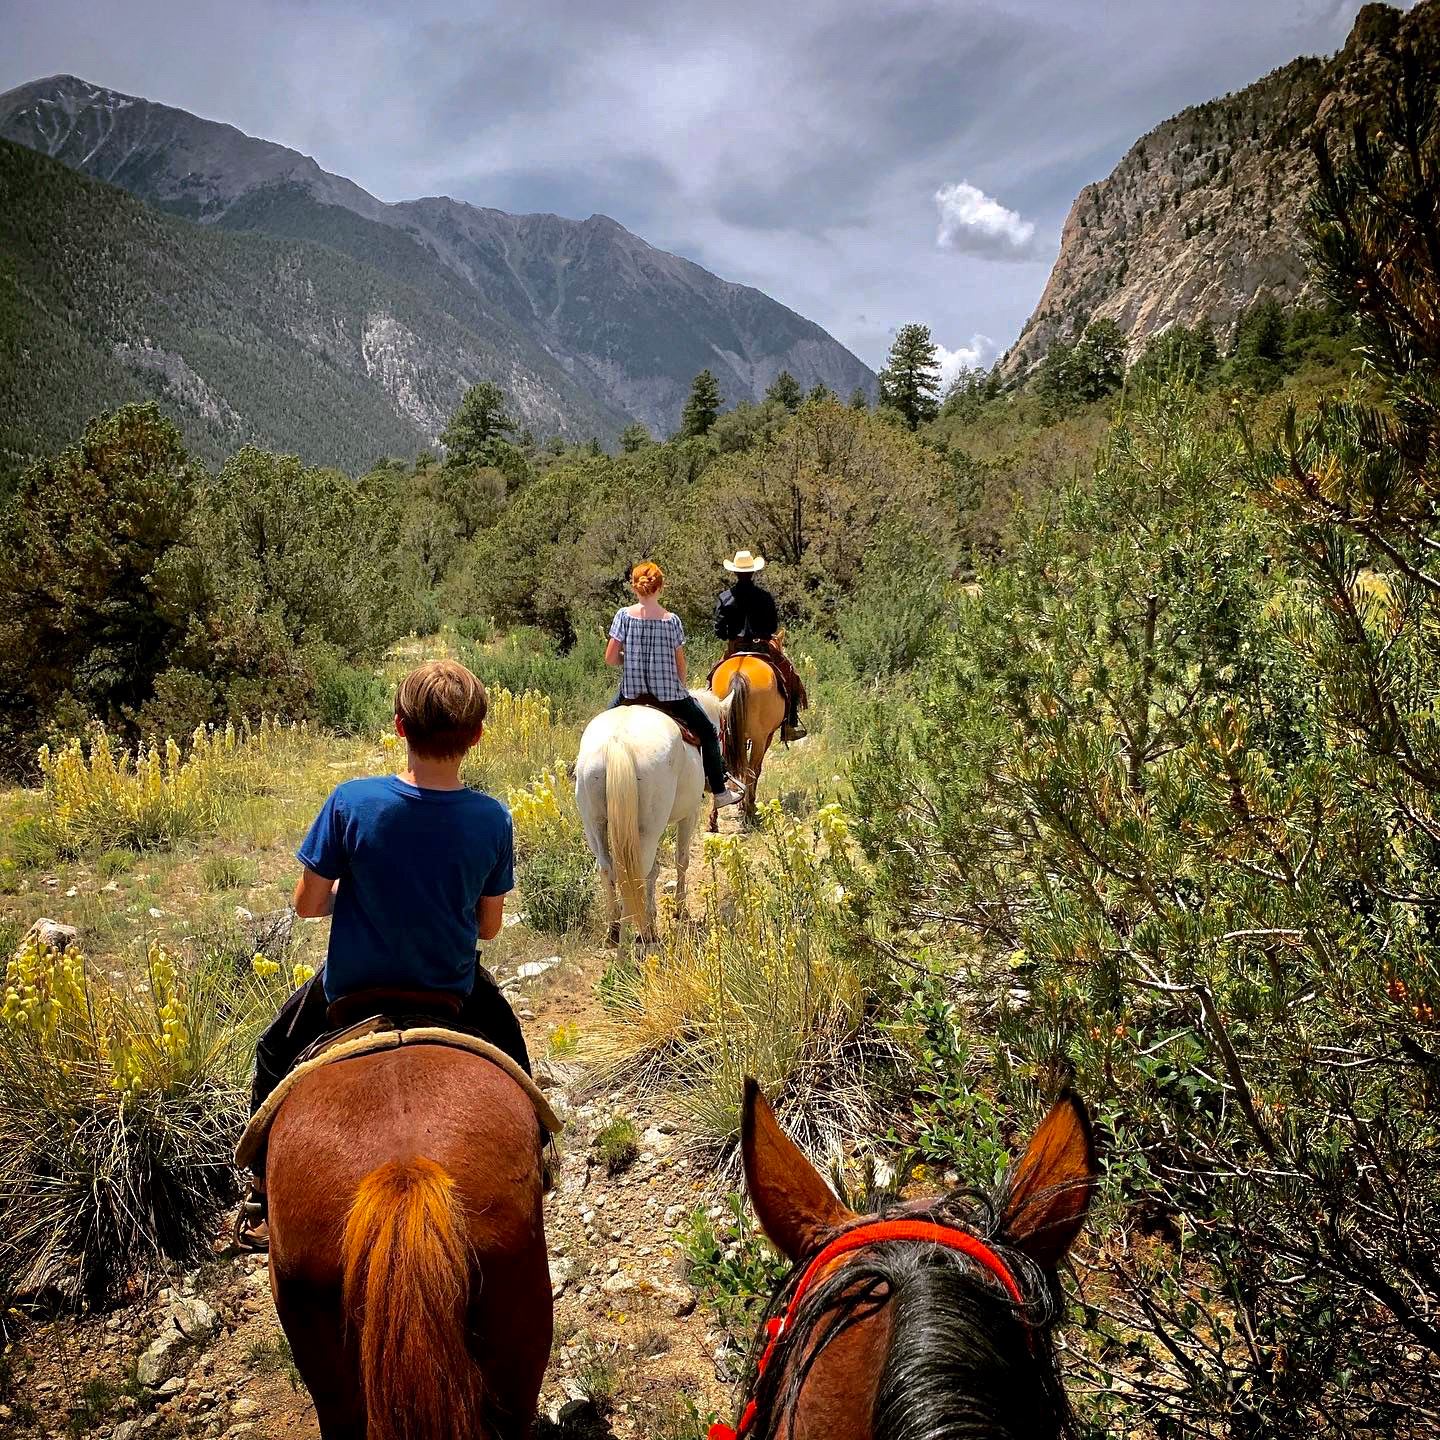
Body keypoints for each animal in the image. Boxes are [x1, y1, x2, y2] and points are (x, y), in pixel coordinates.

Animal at [573, 688, 731, 944]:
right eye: (721, 733)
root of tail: (617, 742)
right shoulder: (689, 815)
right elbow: (681, 860)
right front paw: (679, 909)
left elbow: (656, 871)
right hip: (648, 829)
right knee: (637, 872)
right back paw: (642, 934)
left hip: (593, 823)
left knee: (607, 867)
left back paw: (615, 929)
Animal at [711, 653, 789, 823]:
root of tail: (738, 674)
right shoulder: (766, 737)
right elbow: (755, 769)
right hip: (759, 738)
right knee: (751, 771)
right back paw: (749, 810)